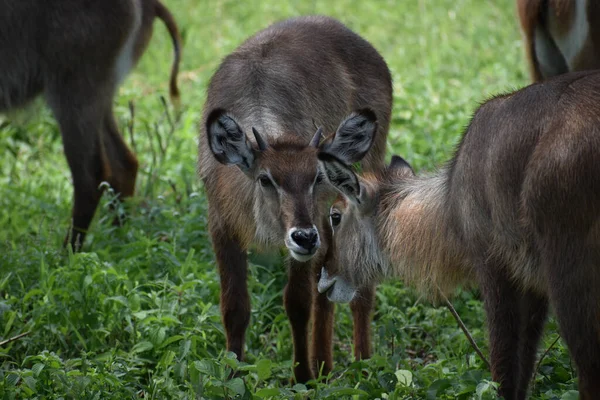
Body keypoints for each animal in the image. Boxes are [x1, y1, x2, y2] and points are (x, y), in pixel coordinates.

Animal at [0, 0, 183, 250]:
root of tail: (148, 3)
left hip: (73, 87)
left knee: (91, 174)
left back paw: (67, 253)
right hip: (101, 93)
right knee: (124, 162)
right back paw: (118, 239)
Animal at [199, 15, 392, 382]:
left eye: (317, 176)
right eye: (265, 178)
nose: (303, 237)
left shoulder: (313, 223)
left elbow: (299, 303)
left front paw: (302, 377)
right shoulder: (221, 225)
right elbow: (234, 306)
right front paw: (231, 375)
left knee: (355, 287)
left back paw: (361, 363)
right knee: (328, 286)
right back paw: (326, 366)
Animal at [322, 70, 600, 398]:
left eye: (335, 216)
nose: (324, 279)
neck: (448, 204)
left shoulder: (495, 268)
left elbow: (505, 369)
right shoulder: (531, 286)